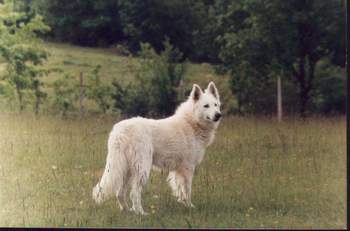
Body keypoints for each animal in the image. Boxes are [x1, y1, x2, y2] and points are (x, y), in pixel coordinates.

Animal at [91, 81, 220, 215]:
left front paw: (183, 203)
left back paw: (128, 211)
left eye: (216, 105)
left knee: (120, 193)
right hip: (142, 168)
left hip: (127, 170)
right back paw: (141, 213)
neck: (192, 123)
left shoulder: (178, 170)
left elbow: (179, 189)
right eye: (206, 106)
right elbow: (187, 190)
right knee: (134, 193)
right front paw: (189, 206)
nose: (218, 115)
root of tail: (120, 132)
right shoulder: (188, 167)